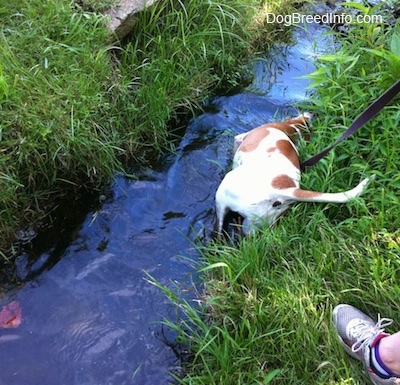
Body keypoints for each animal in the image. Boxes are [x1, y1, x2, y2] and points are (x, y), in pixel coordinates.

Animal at [216, 112, 372, 234]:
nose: (312, 114)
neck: (290, 130)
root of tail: (280, 190)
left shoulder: (240, 137)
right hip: (255, 223)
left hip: (222, 197)